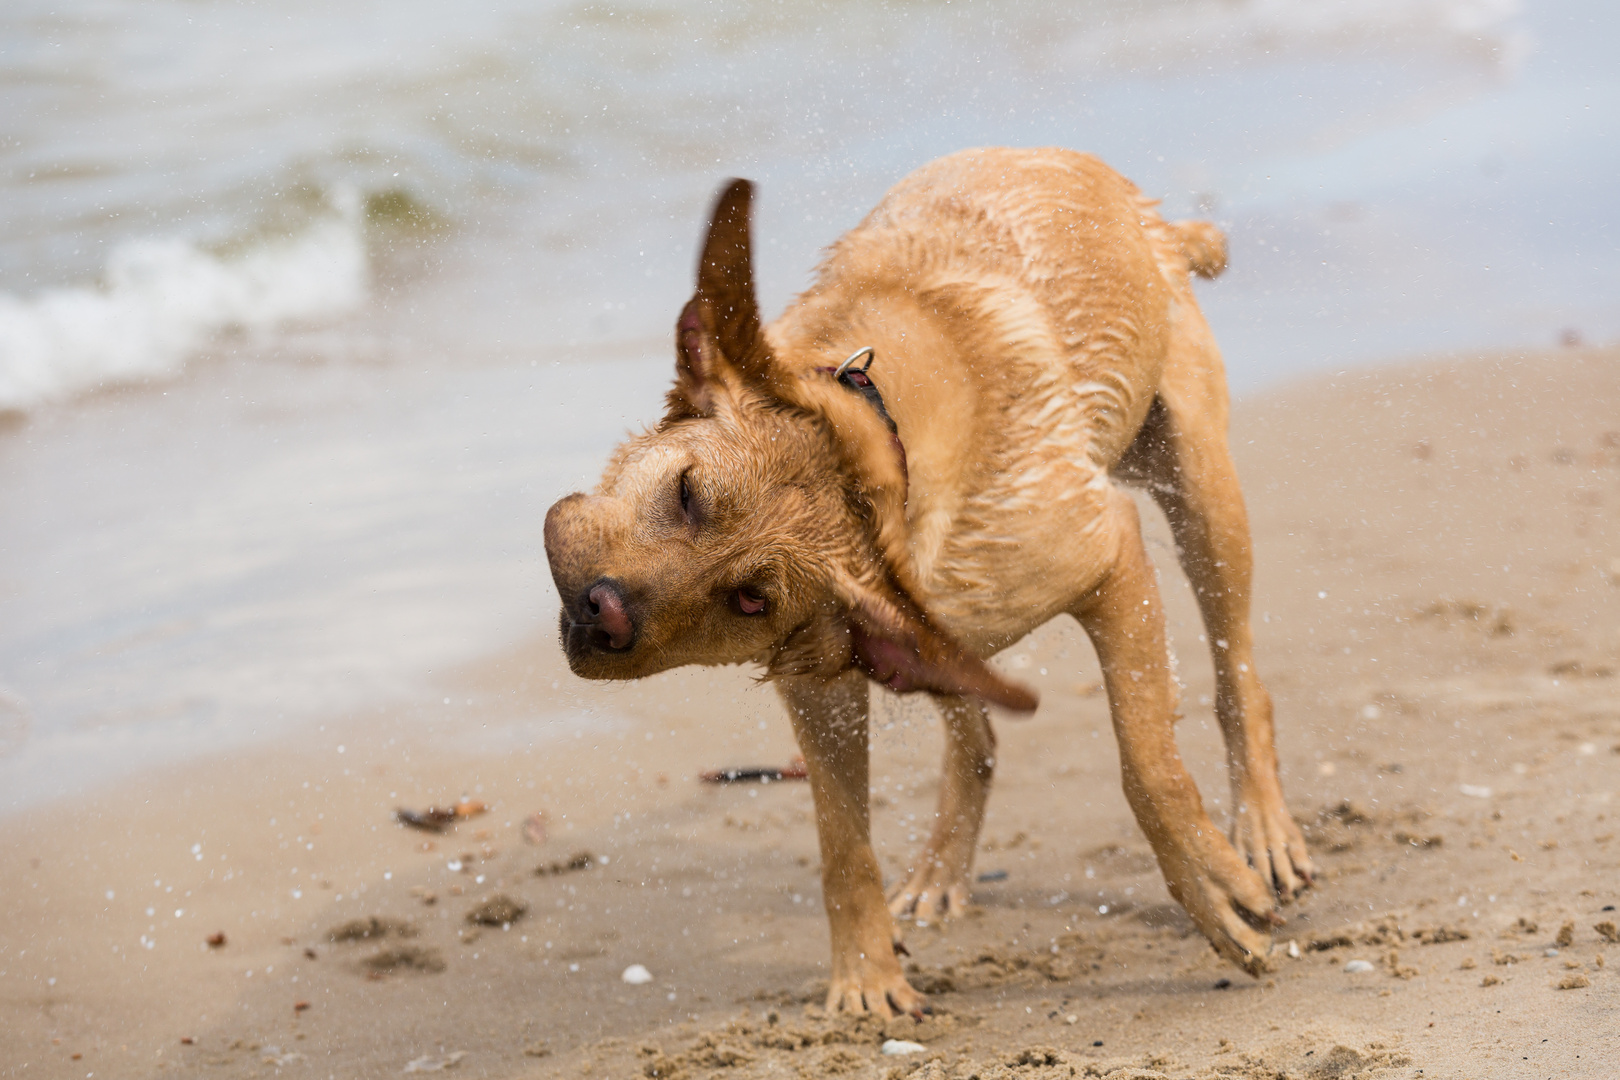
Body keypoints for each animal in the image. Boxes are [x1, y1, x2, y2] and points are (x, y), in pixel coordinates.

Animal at [547, 148, 1315, 1016]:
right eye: (686, 493)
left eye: (750, 596)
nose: (602, 611)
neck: (885, 450)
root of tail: (1142, 209)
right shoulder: (827, 672)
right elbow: (844, 841)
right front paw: (866, 974)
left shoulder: (1111, 561)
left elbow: (1149, 768)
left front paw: (1215, 888)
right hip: (946, 642)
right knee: (976, 738)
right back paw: (944, 868)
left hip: (1202, 494)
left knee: (1237, 675)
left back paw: (1262, 829)